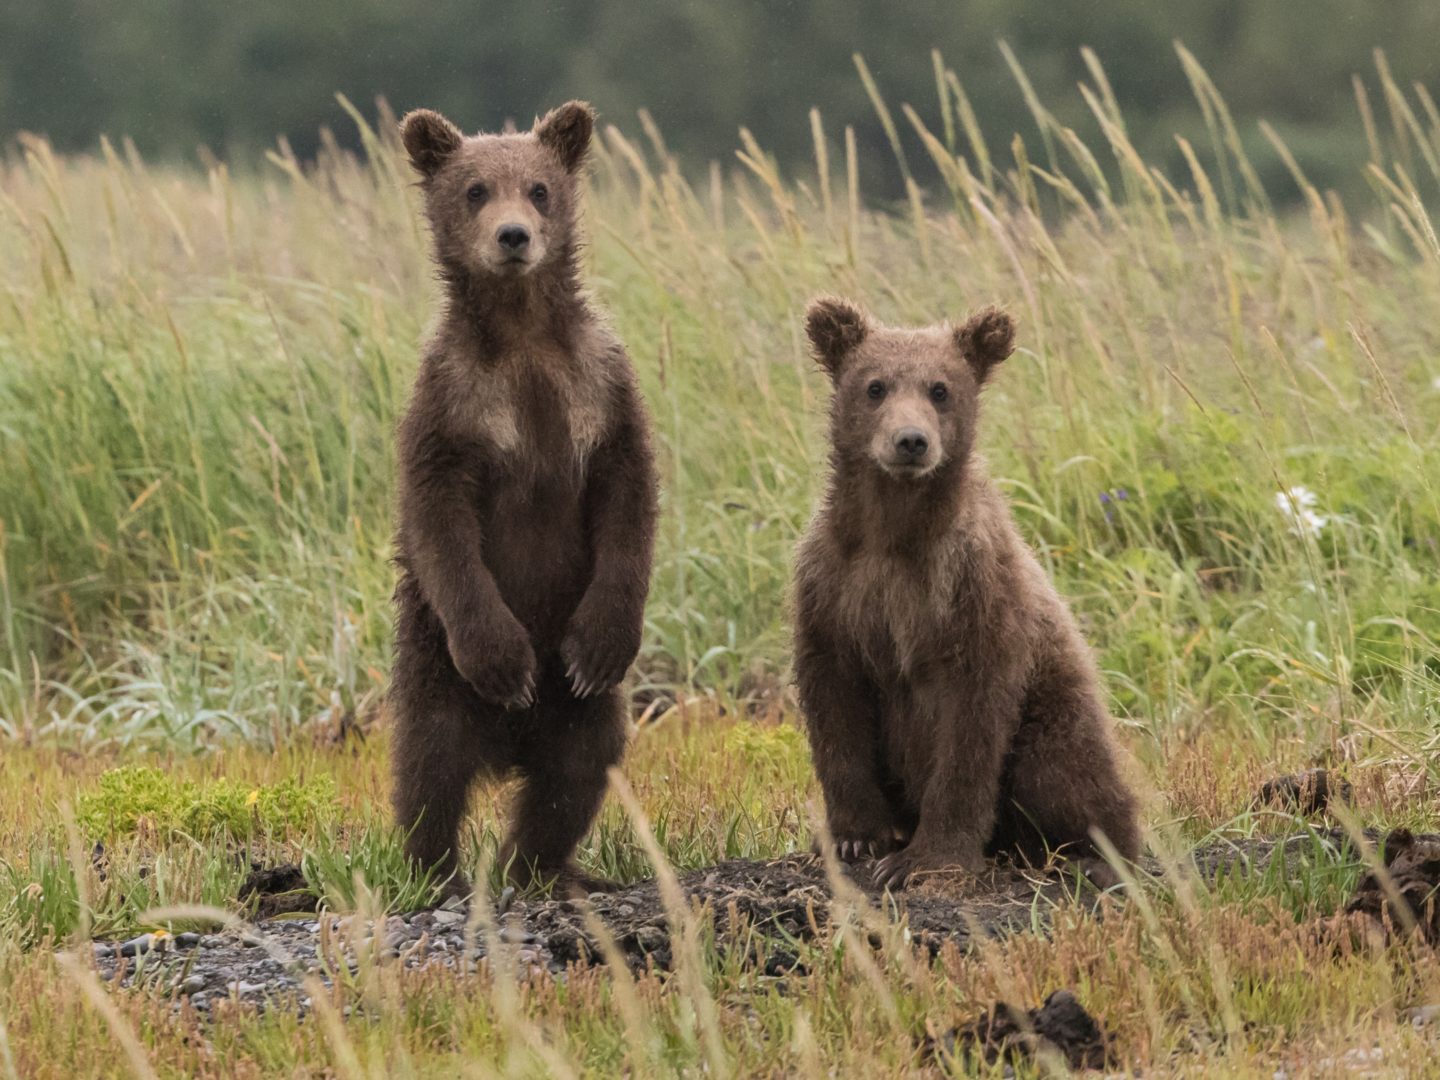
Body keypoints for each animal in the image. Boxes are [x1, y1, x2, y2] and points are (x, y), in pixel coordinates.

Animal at [388, 101, 658, 896]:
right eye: (475, 189)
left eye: (538, 188)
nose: (514, 236)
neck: (522, 334)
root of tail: (509, 745)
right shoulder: (451, 403)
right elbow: (442, 522)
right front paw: (507, 660)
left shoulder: (600, 387)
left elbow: (628, 499)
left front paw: (600, 644)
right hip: (435, 668)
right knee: (430, 766)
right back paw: (436, 872)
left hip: (580, 713)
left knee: (576, 771)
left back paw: (546, 869)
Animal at [791, 296, 1141, 889]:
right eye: (875, 385)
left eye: (940, 388)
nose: (911, 441)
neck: (895, 533)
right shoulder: (834, 586)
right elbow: (835, 708)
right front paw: (855, 837)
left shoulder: (972, 590)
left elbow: (970, 731)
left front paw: (923, 860)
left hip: (1055, 710)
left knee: (1068, 773)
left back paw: (1098, 854)